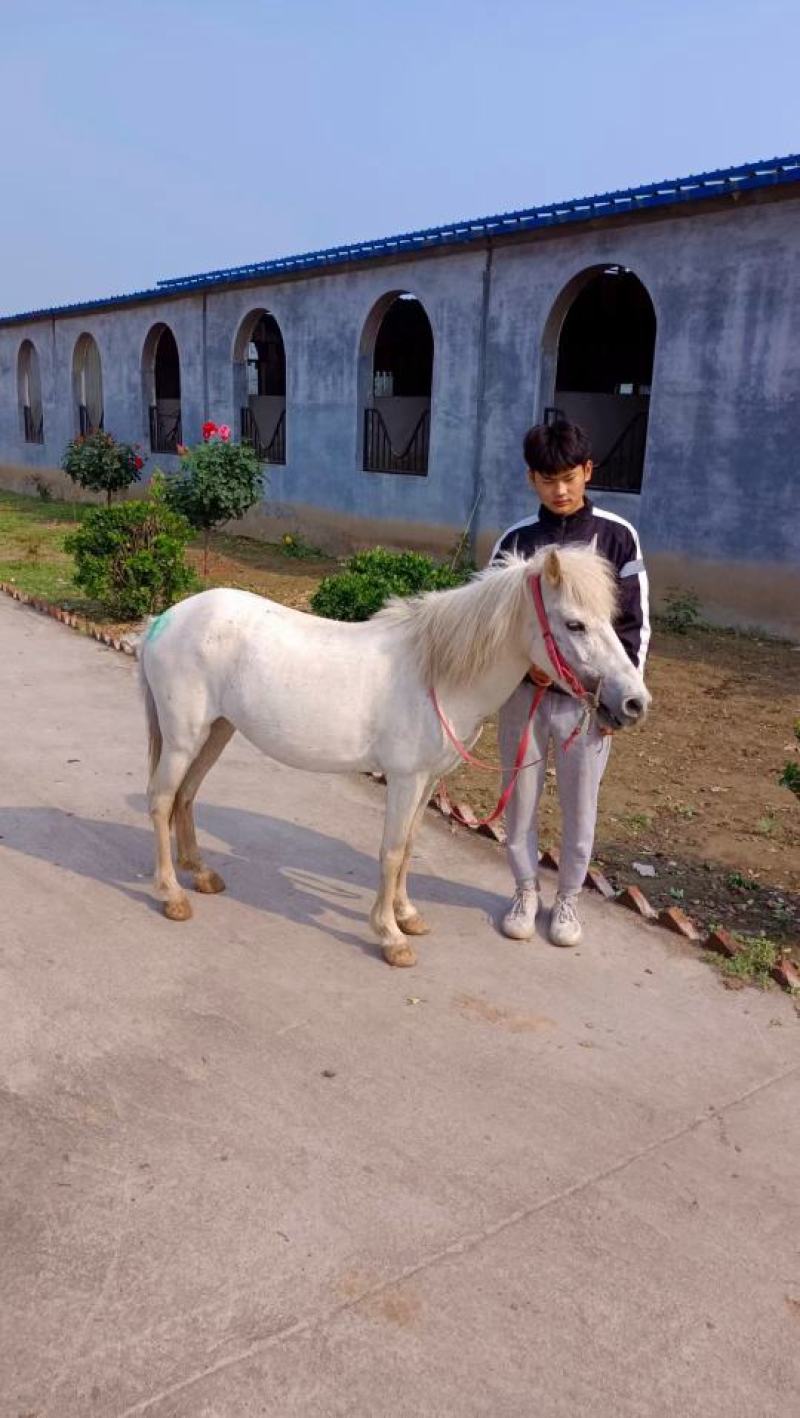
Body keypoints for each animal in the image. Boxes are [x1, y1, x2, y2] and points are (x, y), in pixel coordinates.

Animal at [138, 545, 649, 966]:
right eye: (574, 623)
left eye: (609, 619)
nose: (633, 703)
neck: (436, 673)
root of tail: (165, 618)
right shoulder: (405, 779)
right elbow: (391, 850)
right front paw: (389, 936)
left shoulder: (427, 781)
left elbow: (409, 848)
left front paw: (407, 915)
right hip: (183, 739)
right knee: (161, 801)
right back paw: (172, 894)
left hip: (217, 731)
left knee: (186, 796)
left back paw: (201, 873)